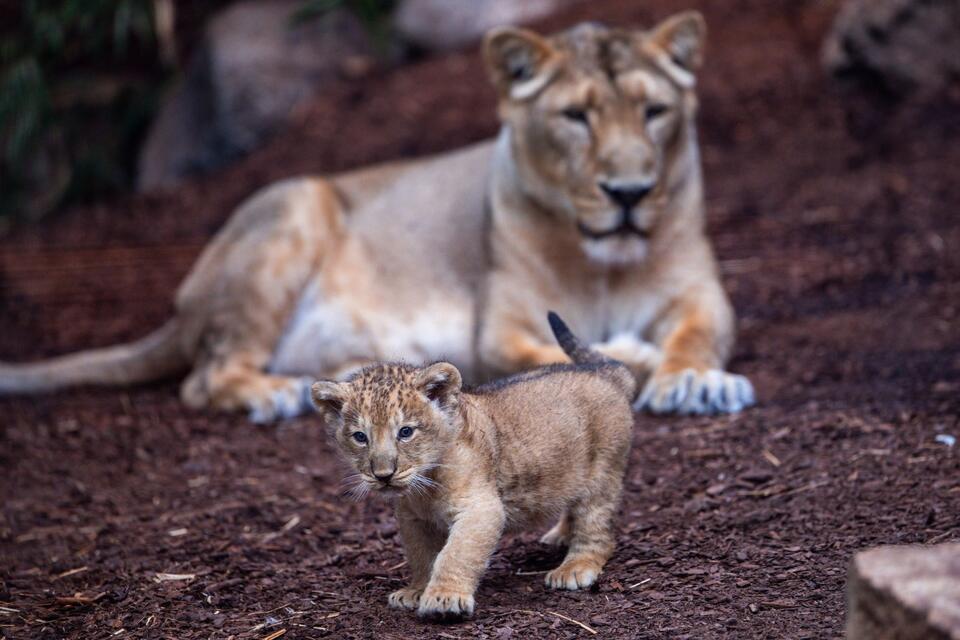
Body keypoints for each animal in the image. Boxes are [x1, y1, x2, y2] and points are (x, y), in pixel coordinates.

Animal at [0, 12, 754, 420]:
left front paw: (693, 379)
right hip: (297, 200)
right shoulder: (499, 331)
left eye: (654, 111)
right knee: (204, 376)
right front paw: (639, 355)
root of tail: (185, 303)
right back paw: (275, 394)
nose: (630, 192)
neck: (604, 263)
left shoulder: (703, 297)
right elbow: (562, 351)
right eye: (576, 117)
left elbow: (695, 336)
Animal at [311, 312, 634, 619]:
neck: (425, 488)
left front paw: (443, 598)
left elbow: (456, 553)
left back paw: (575, 567)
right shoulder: (412, 518)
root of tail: (605, 372)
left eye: (405, 432)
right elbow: (421, 555)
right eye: (360, 437)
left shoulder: (481, 509)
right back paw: (560, 535)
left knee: (597, 531)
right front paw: (416, 590)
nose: (383, 475)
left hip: (602, 473)